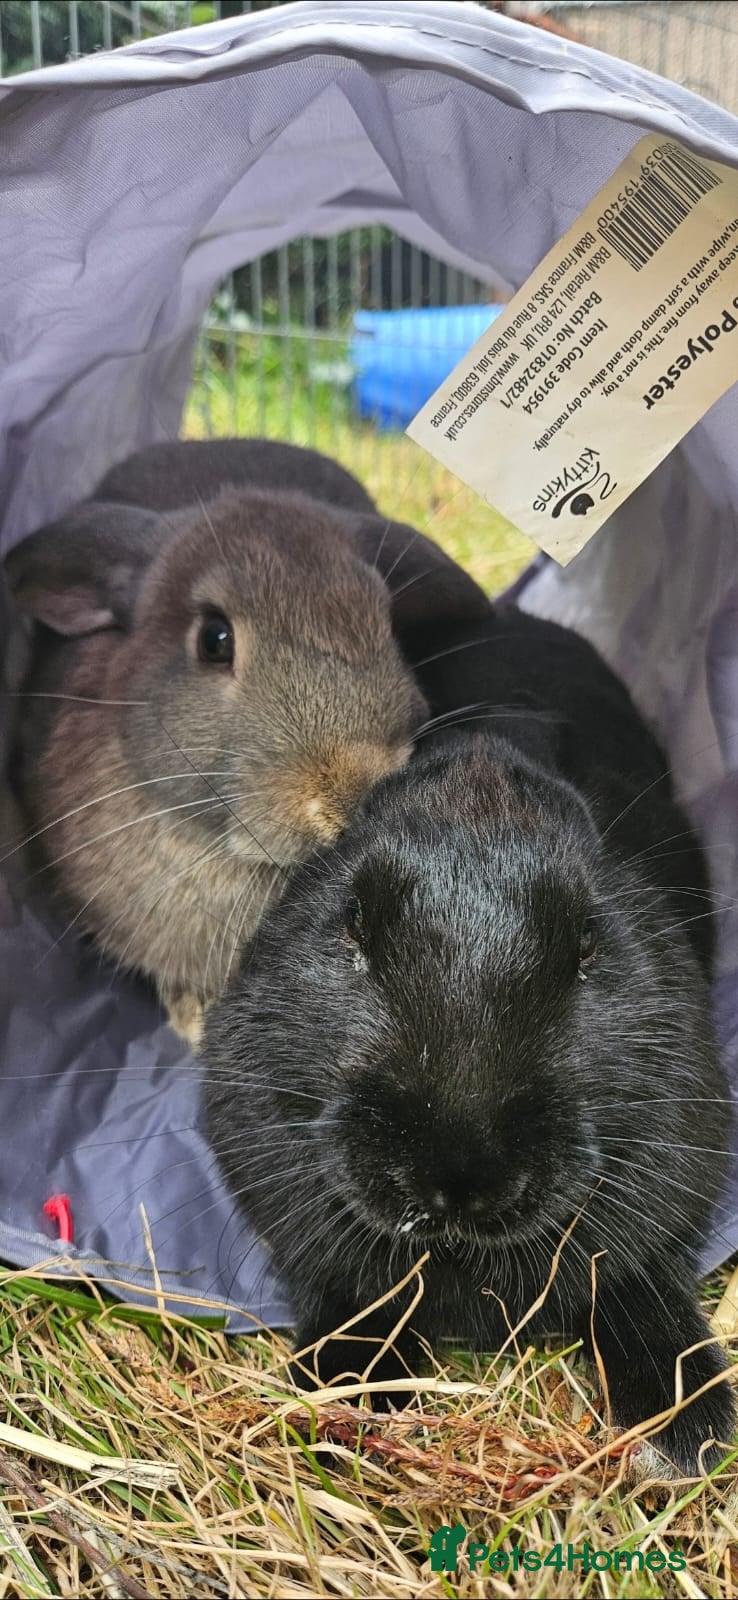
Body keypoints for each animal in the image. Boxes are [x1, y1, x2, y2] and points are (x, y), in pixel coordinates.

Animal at [203, 602, 734, 1478]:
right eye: (351, 921)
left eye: (588, 941)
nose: (455, 1181)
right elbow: (354, 1296)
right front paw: (345, 1403)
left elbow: (638, 1285)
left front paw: (684, 1435)